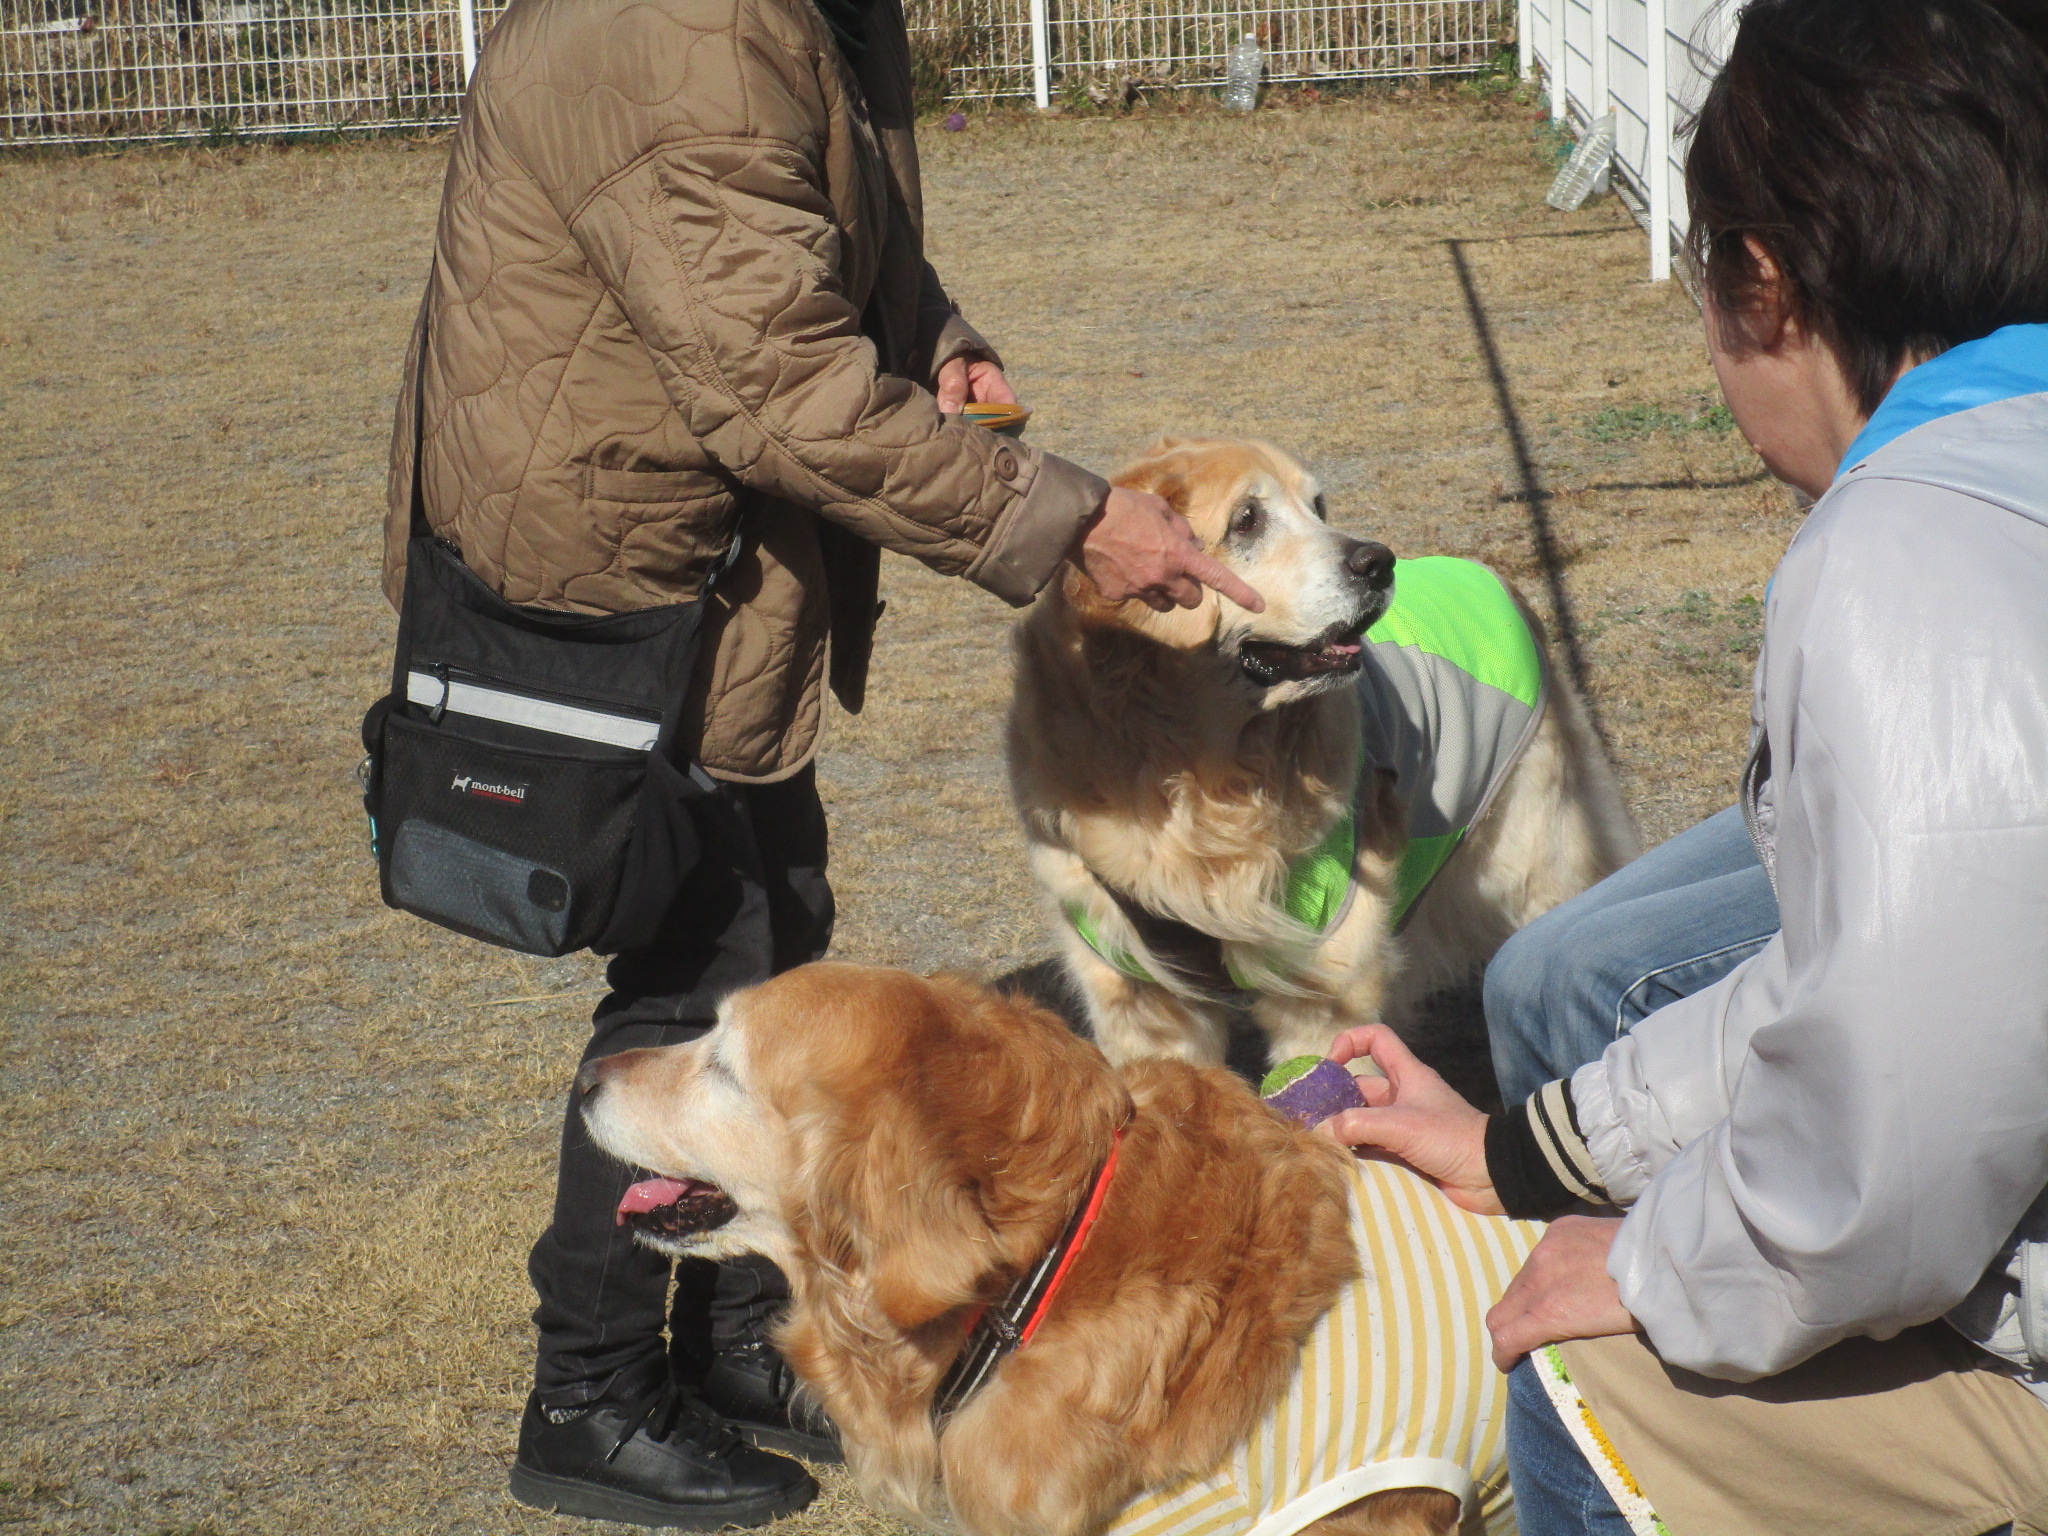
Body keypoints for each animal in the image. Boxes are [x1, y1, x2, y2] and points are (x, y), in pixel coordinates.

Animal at [1007, 439, 1638, 1069]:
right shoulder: (1137, 996)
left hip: (1537, 857)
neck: (1200, 770)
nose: (1378, 562)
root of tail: (1490, 575)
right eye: (1247, 520)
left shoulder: (1327, 980)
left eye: (1318, 507)